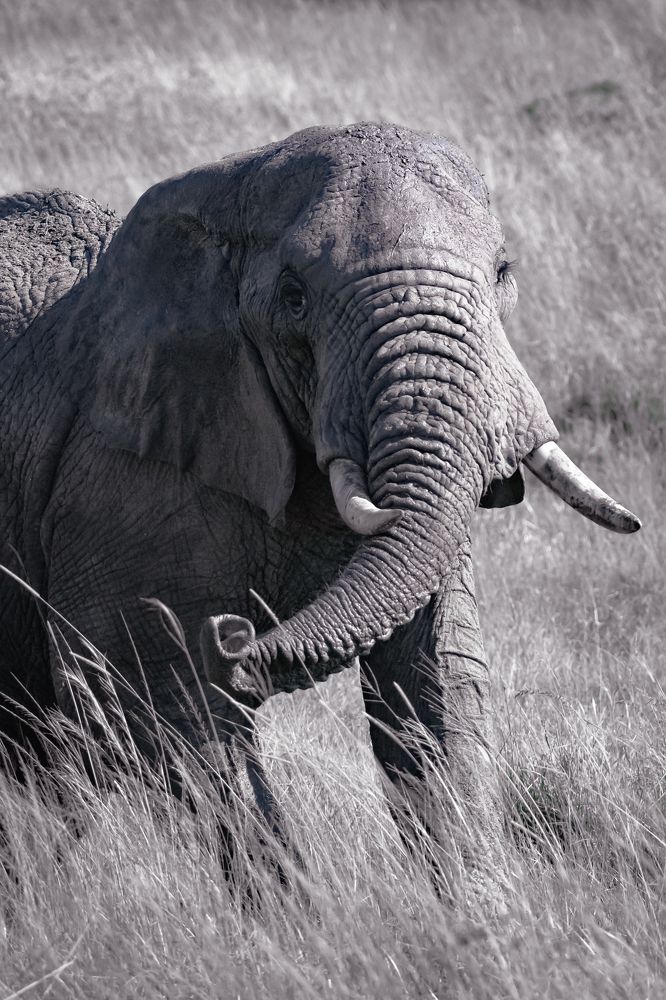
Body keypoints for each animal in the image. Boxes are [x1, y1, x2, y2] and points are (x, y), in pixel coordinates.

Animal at [0, 124, 640, 874]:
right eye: (294, 296)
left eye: (504, 272)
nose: (235, 636)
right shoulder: (118, 481)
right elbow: (152, 701)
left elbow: (438, 689)